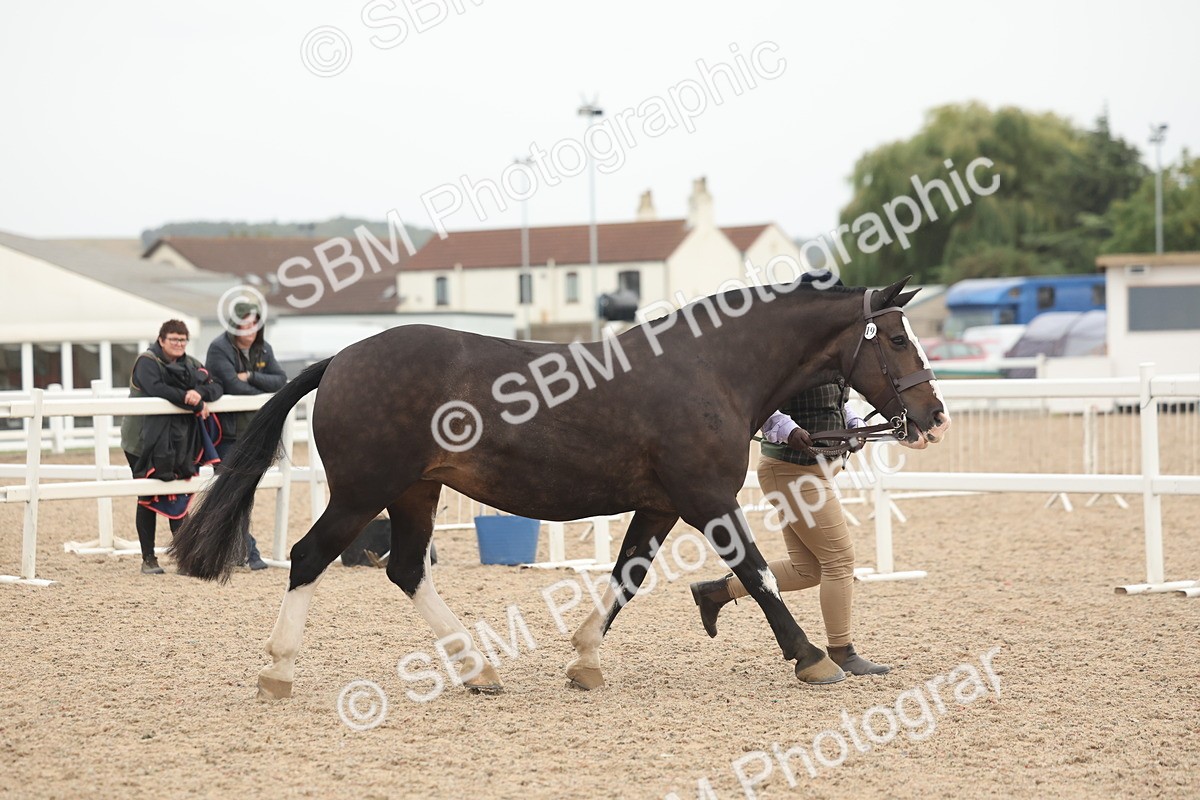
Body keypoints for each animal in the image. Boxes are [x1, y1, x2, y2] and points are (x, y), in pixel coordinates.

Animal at [170, 276, 949, 700]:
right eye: (897, 339)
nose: (933, 416)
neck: (711, 368)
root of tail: (338, 360)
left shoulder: (660, 505)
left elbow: (627, 577)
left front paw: (585, 660)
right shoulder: (706, 500)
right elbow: (756, 574)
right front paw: (813, 659)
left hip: (414, 493)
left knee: (404, 569)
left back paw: (478, 669)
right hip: (364, 494)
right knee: (309, 558)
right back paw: (278, 673)